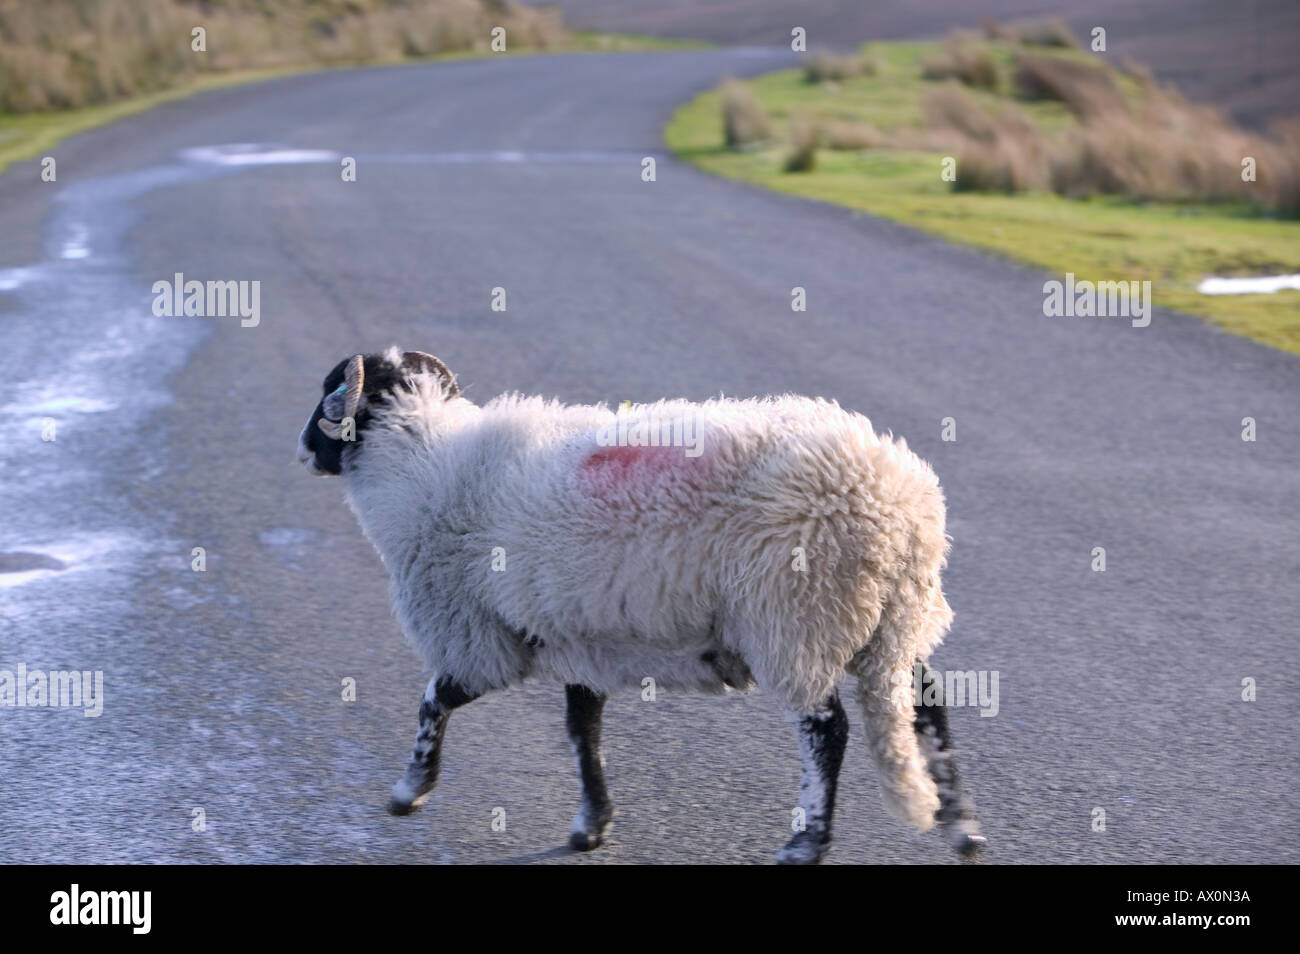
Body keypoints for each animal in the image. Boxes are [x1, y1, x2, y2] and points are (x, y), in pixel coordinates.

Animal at [297, 348, 986, 863]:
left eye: (332, 390)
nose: (303, 449)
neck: (421, 462)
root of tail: (899, 504)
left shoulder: (480, 639)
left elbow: (433, 702)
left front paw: (409, 791)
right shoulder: (577, 635)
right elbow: (583, 730)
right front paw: (592, 824)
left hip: (797, 616)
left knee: (827, 729)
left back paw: (806, 844)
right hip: (894, 617)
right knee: (927, 705)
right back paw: (962, 830)